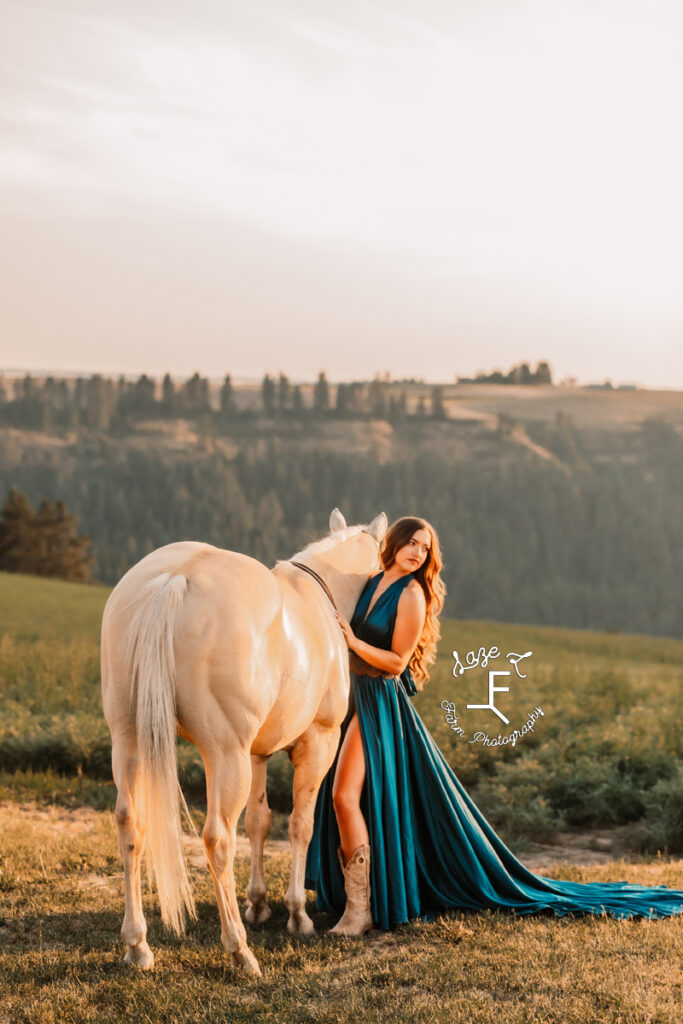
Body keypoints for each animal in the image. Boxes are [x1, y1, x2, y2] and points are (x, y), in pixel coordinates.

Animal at [99, 507, 387, 970]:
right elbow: (300, 825)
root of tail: (173, 580)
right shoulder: (317, 744)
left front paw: (257, 904)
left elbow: (259, 822)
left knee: (131, 824)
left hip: (129, 741)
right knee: (217, 838)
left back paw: (138, 945)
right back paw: (239, 949)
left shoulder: (257, 754)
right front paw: (297, 915)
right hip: (224, 755)